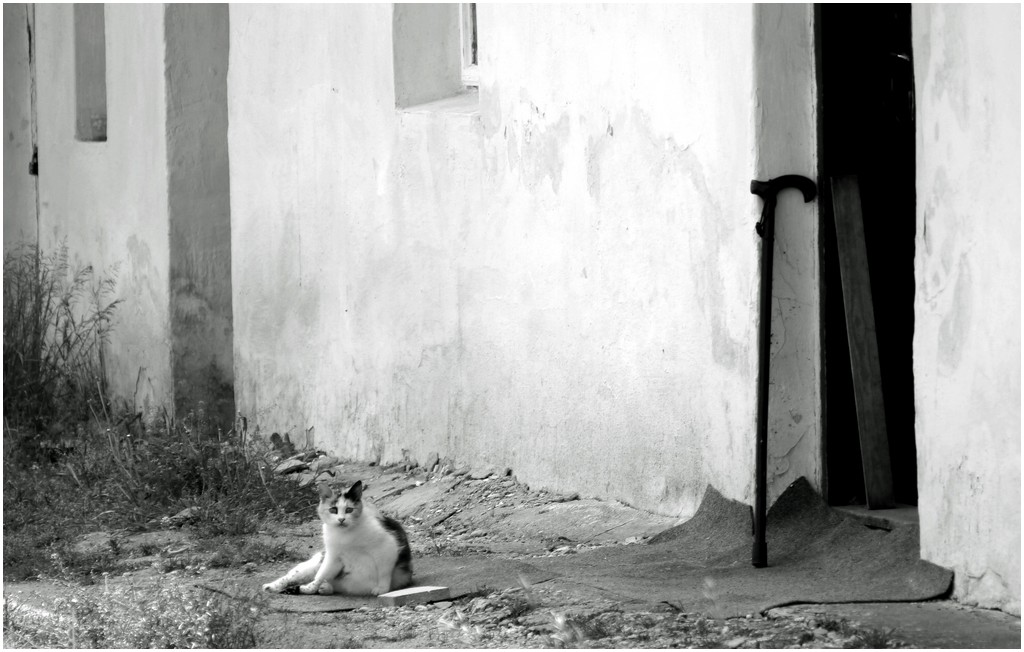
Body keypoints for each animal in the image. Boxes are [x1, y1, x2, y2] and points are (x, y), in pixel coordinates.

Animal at [262, 479, 413, 593]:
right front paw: (310, 588)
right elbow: (321, 574)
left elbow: (384, 572)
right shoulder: (332, 556)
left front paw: (382, 589)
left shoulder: (387, 548)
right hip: (313, 564)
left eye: (349, 510)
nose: (341, 519)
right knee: (291, 576)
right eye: (333, 510)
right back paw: (272, 586)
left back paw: (324, 588)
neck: (346, 535)